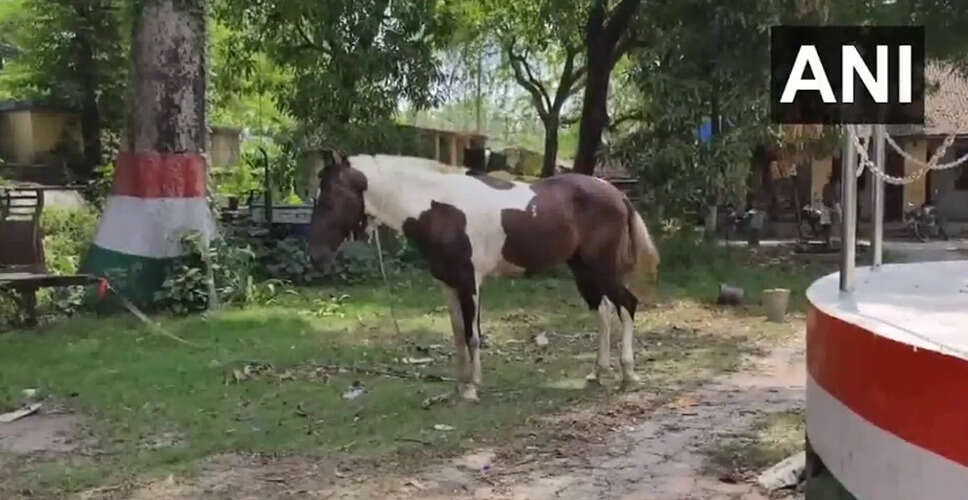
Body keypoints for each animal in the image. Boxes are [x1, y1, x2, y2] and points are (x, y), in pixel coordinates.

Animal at [307, 151, 660, 401]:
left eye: (329, 197)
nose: (315, 255)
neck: (440, 209)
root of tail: (616, 193)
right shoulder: (449, 284)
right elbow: (457, 334)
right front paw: (460, 384)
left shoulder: (469, 281)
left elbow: (472, 334)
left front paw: (472, 388)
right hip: (583, 269)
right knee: (603, 311)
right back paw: (598, 373)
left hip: (602, 267)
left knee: (627, 305)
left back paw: (628, 375)